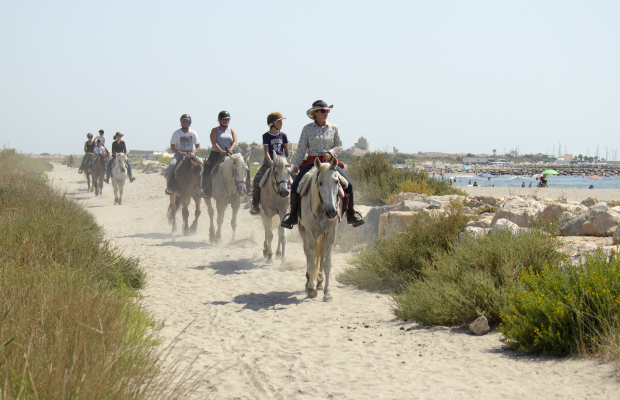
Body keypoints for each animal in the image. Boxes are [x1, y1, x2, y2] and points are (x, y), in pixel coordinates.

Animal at [296, 158, 346, 302]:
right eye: (320, 183)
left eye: (337, 182)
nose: (331, 212)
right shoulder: (310, 234)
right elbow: (311, 262)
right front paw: (311, 290)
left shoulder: (330, 234)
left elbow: (327, 263)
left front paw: (327, 293)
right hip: (303, 232)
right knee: (308, 255)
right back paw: (310, 283)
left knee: (321, 254)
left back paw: (319, 281)